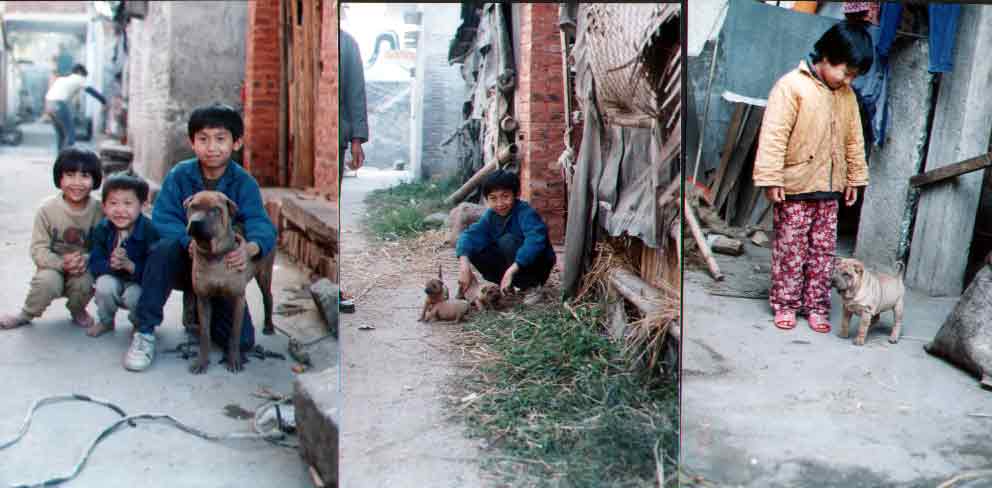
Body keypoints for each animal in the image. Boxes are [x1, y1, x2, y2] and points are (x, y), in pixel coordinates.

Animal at [184, 191, 276, 374]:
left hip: (264, 274)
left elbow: (234, 334)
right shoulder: (203, 298)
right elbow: (205, 334)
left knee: (268, 297)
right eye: (193, 207)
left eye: (215, 210)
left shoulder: (238, 298)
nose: (196, 222)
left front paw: (233, 360)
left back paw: (269, 325)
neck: (214, 255)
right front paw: (202, 362)